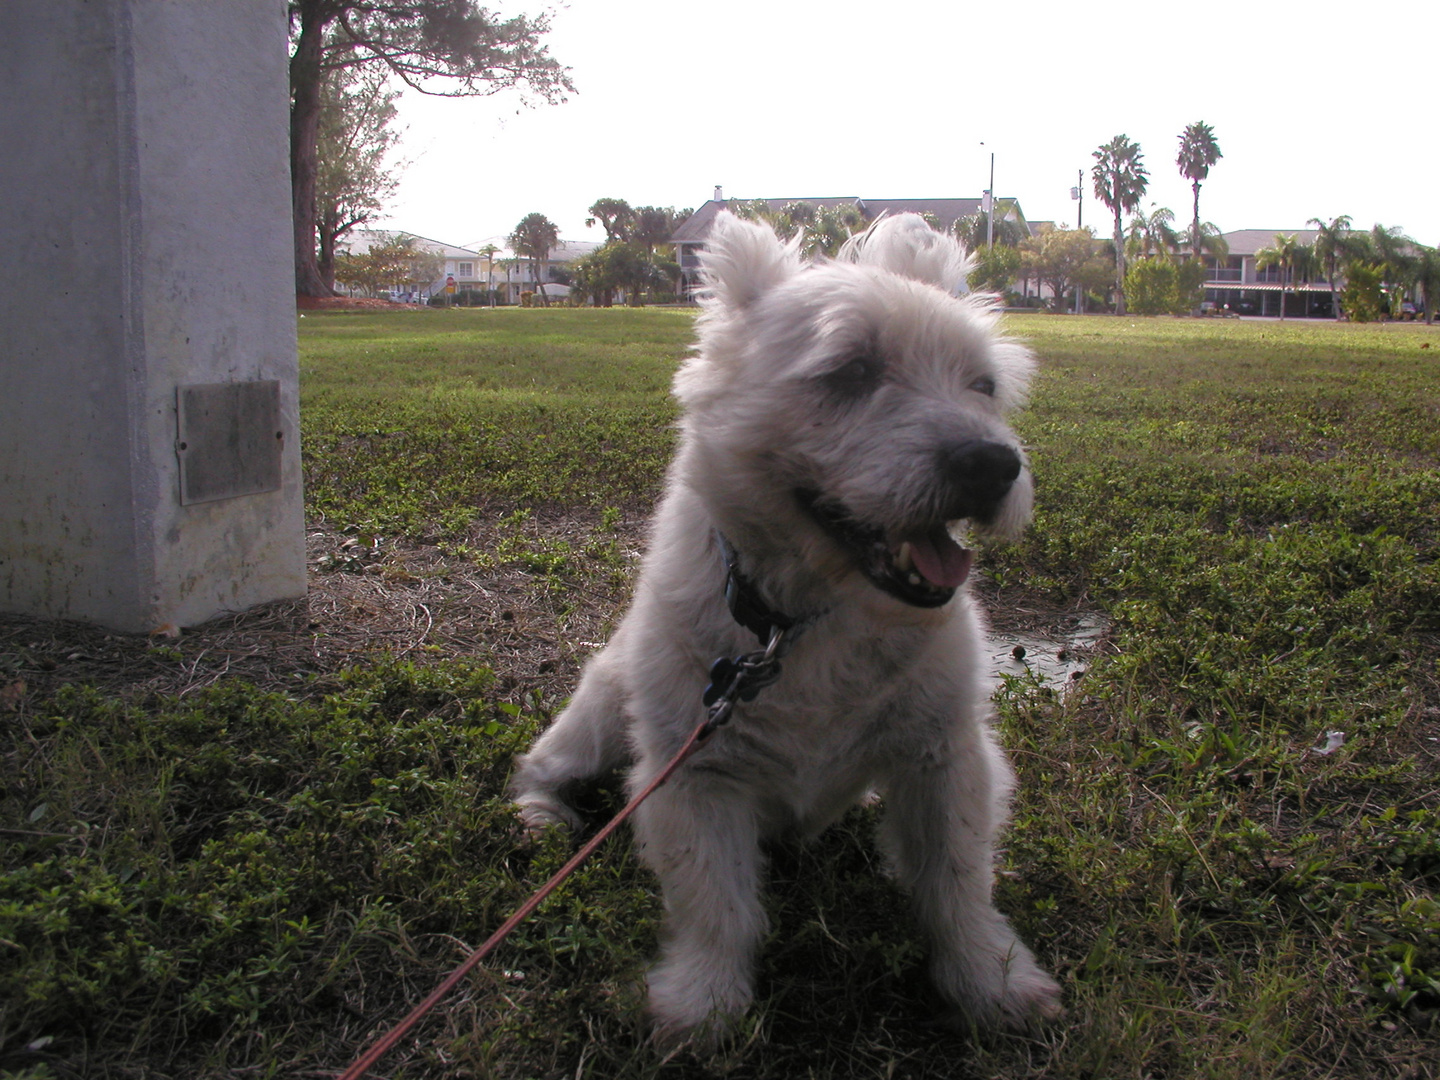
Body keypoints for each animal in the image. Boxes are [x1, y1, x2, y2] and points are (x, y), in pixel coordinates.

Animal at [512, 213, 1065, 1048]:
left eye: (985, 386)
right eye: (852, 370)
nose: (993, 465)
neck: (806, 620)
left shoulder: (945, 759)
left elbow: (957, 884)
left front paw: (990, 984)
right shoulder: (694, 774)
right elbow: (716, 904)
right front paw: (703, 1005)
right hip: (601, 718)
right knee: (542, 763)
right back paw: (540, 815)